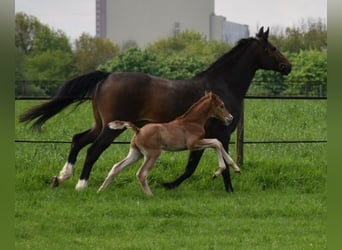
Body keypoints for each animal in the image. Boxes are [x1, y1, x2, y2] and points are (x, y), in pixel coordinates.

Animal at [97, 92, 239, 195]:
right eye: (221, 105)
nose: (230, 118)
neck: (192, 122)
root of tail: (138, 130)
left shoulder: (199, 142)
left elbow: (218, 142)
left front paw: (236, 167)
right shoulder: (193, 144)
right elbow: (216, 143)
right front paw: (217, 173)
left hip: (136, 153)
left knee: (116, 167)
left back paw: (101, 190)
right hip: (153, 154)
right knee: (141, 174)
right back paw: (150, 195)